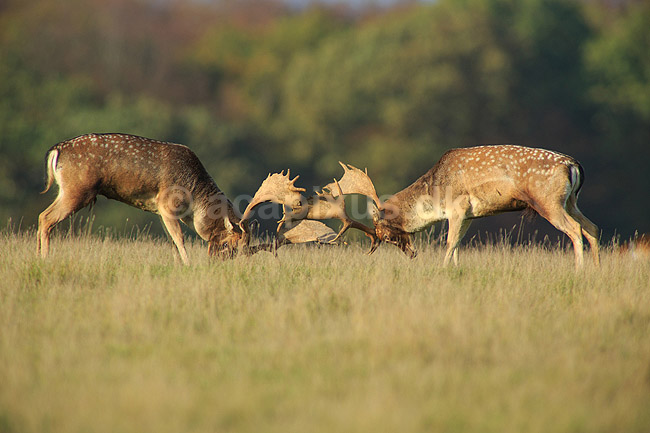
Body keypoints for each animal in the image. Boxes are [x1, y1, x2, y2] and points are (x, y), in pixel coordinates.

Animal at [37, 133, 274, 264]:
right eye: (229, 244)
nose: (217, 263)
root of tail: (56, 151)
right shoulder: (167, 204)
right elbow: (180, 238)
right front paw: (188, 265)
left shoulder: (160, 211)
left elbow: (171, 241)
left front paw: (178, 265)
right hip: (78, 190)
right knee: (47, 218)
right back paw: (45, 258)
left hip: (68, 190)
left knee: (42, 216)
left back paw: (37, 255)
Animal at [333, 145, 600, 268]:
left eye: (386, 236)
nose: (411, 254)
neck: (435, 195)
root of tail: (574, 165)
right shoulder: (471, 214)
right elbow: (459, 244)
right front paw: (455, 269)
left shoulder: (458, 206)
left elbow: (450, 242)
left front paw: (442, 269)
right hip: (571, 201)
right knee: (592, 228)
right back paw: (595, 271)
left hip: (548, 201)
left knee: (575, 230)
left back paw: (579, 271)